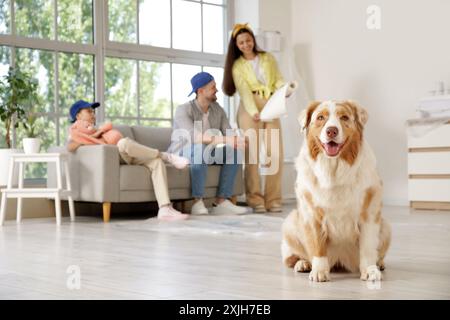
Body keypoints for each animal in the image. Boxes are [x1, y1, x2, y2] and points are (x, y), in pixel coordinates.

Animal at [282, 100, 390, 282]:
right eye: (320, 117)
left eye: (344, 117)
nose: (331, 130)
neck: (333, 169)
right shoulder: (311, 215)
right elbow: (317, 247)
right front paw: (319, 271)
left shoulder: (369, 212)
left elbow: (368, 247)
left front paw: (370, 270)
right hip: (290, 223)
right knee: (292, 257)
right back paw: (303, 264)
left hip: (385, 226)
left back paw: (379, 263)